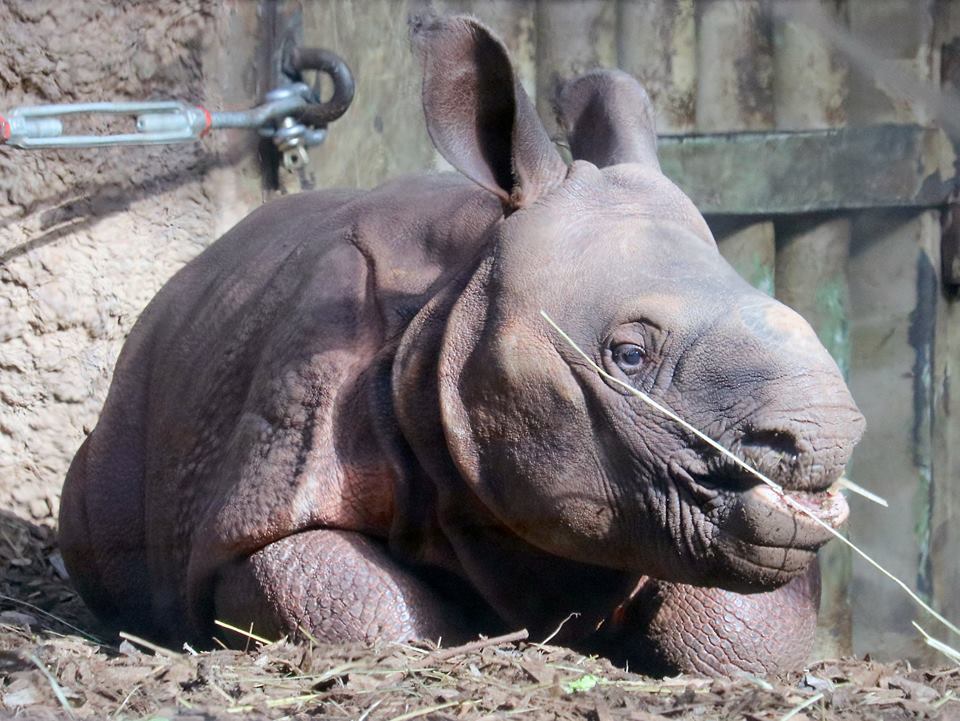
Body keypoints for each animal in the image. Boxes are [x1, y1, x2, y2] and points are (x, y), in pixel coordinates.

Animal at [58, 14, 864, 676]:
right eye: (630, 356)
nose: (826, 435)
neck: (462, 287)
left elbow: (747, 628)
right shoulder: (268, 488)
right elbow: (358, 605)